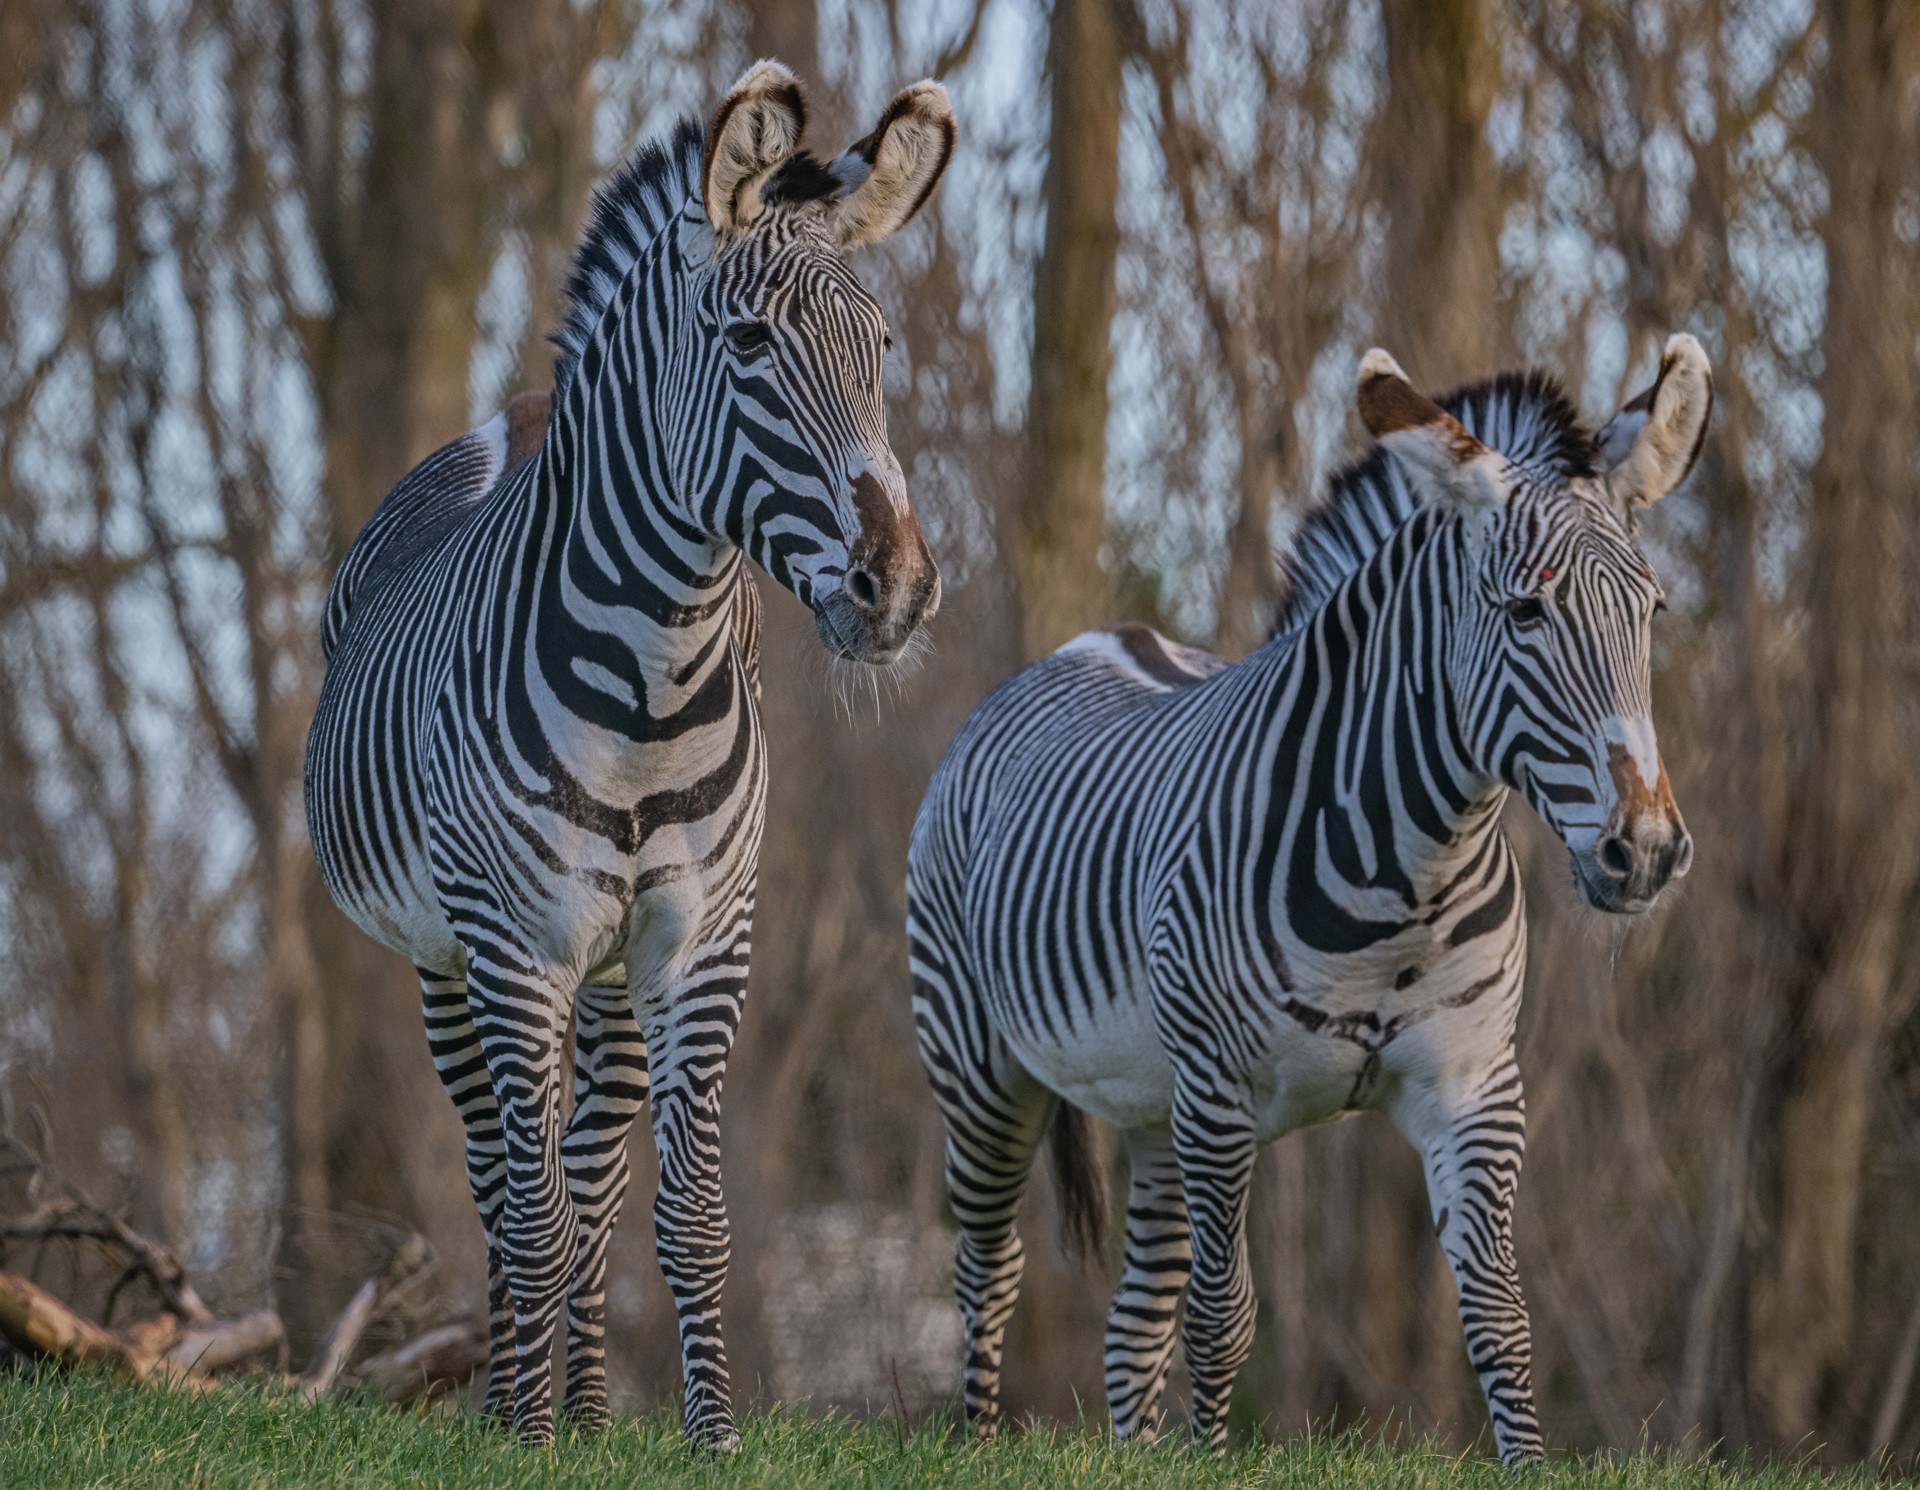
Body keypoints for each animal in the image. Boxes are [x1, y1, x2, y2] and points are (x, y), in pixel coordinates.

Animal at [305, 62, 954, 1449]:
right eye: (748, 343)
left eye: (877, 350)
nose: (901, 589)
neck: (653, 685)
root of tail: (513, 412)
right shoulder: (513, 948)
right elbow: (531, 1212)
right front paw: (526, 1440)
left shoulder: (702, 943)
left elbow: (687, 1219)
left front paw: (706, 1442)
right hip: (448, 964)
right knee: (504, 1184)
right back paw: (513, 1404)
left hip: (606, 974)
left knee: (590, 1179)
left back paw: (592, 1412)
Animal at [908, 337, 1712, 1460]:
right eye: (1526, 610)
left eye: (1652, 613)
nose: (1645, 853)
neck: (1405, 880)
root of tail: (1088, 641)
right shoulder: (1220, 1092)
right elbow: (1226, 1317)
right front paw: (1210, 1465)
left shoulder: (1473, 1085)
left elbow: (1499, 1314)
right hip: (981, 1067)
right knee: (990, 1269)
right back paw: (980, 1440)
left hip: (1150, 1104)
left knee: (1133, 1319)